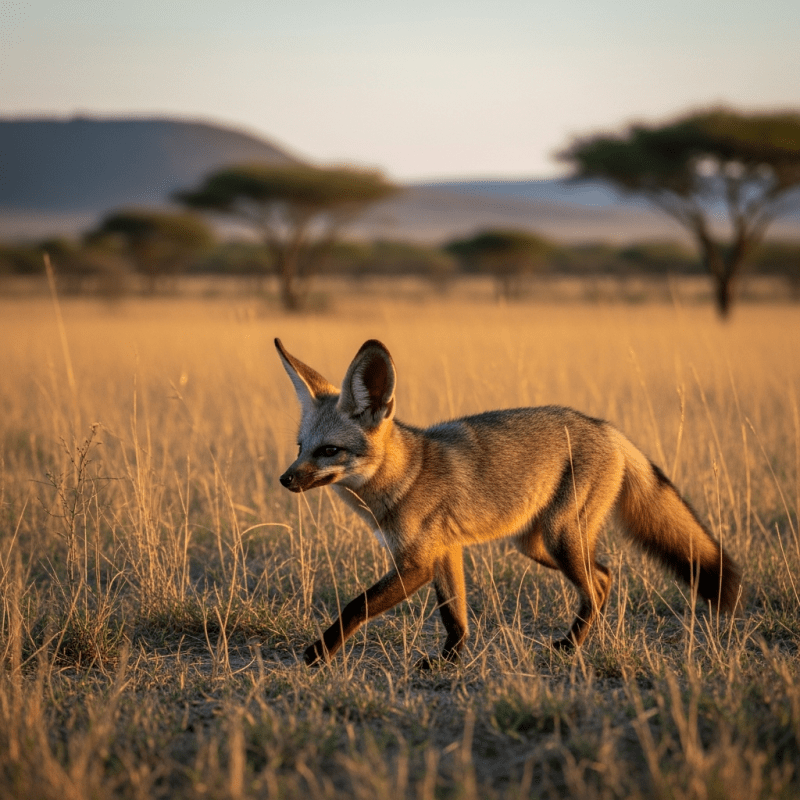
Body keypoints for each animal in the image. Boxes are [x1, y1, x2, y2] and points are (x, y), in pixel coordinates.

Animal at [275, 338, 741, 667]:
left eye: (329, 451)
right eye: (300, 447)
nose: (285, 479)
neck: (405, 479)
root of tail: (605, 427)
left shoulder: (417, 563)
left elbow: (357, 605)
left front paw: (320, 653)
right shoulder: (447, 553)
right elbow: (455, 618)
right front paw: (449, 661)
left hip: (559, 538)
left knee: (595, 585)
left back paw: (571, 646)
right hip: (535, 544)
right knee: (605, 576)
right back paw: (577, 640)